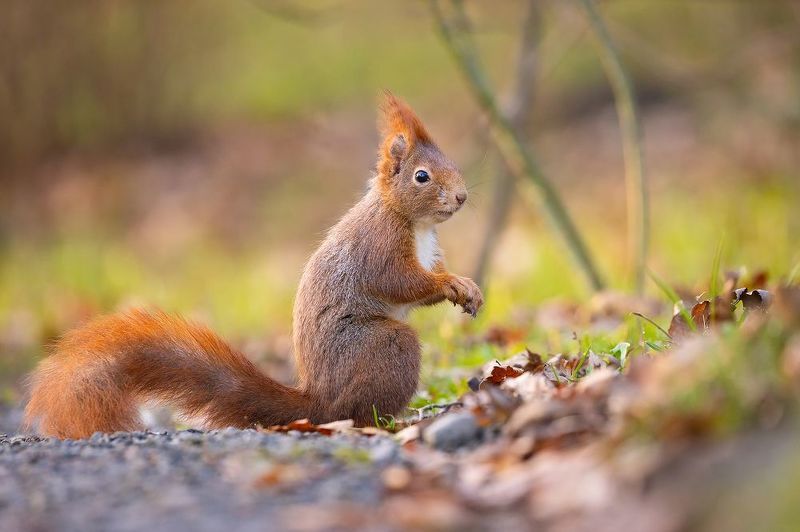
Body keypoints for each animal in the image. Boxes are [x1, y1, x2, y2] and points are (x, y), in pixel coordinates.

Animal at [23, 93, 484, 439]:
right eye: (422, 176)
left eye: (453, 163)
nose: (462, 196)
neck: (413, 223)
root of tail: (319, 402)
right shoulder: (379, 246)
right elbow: (401, 282)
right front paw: (452, 284)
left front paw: (468, 286)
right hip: (383, 347)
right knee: (362, 408)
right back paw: (390, 423)